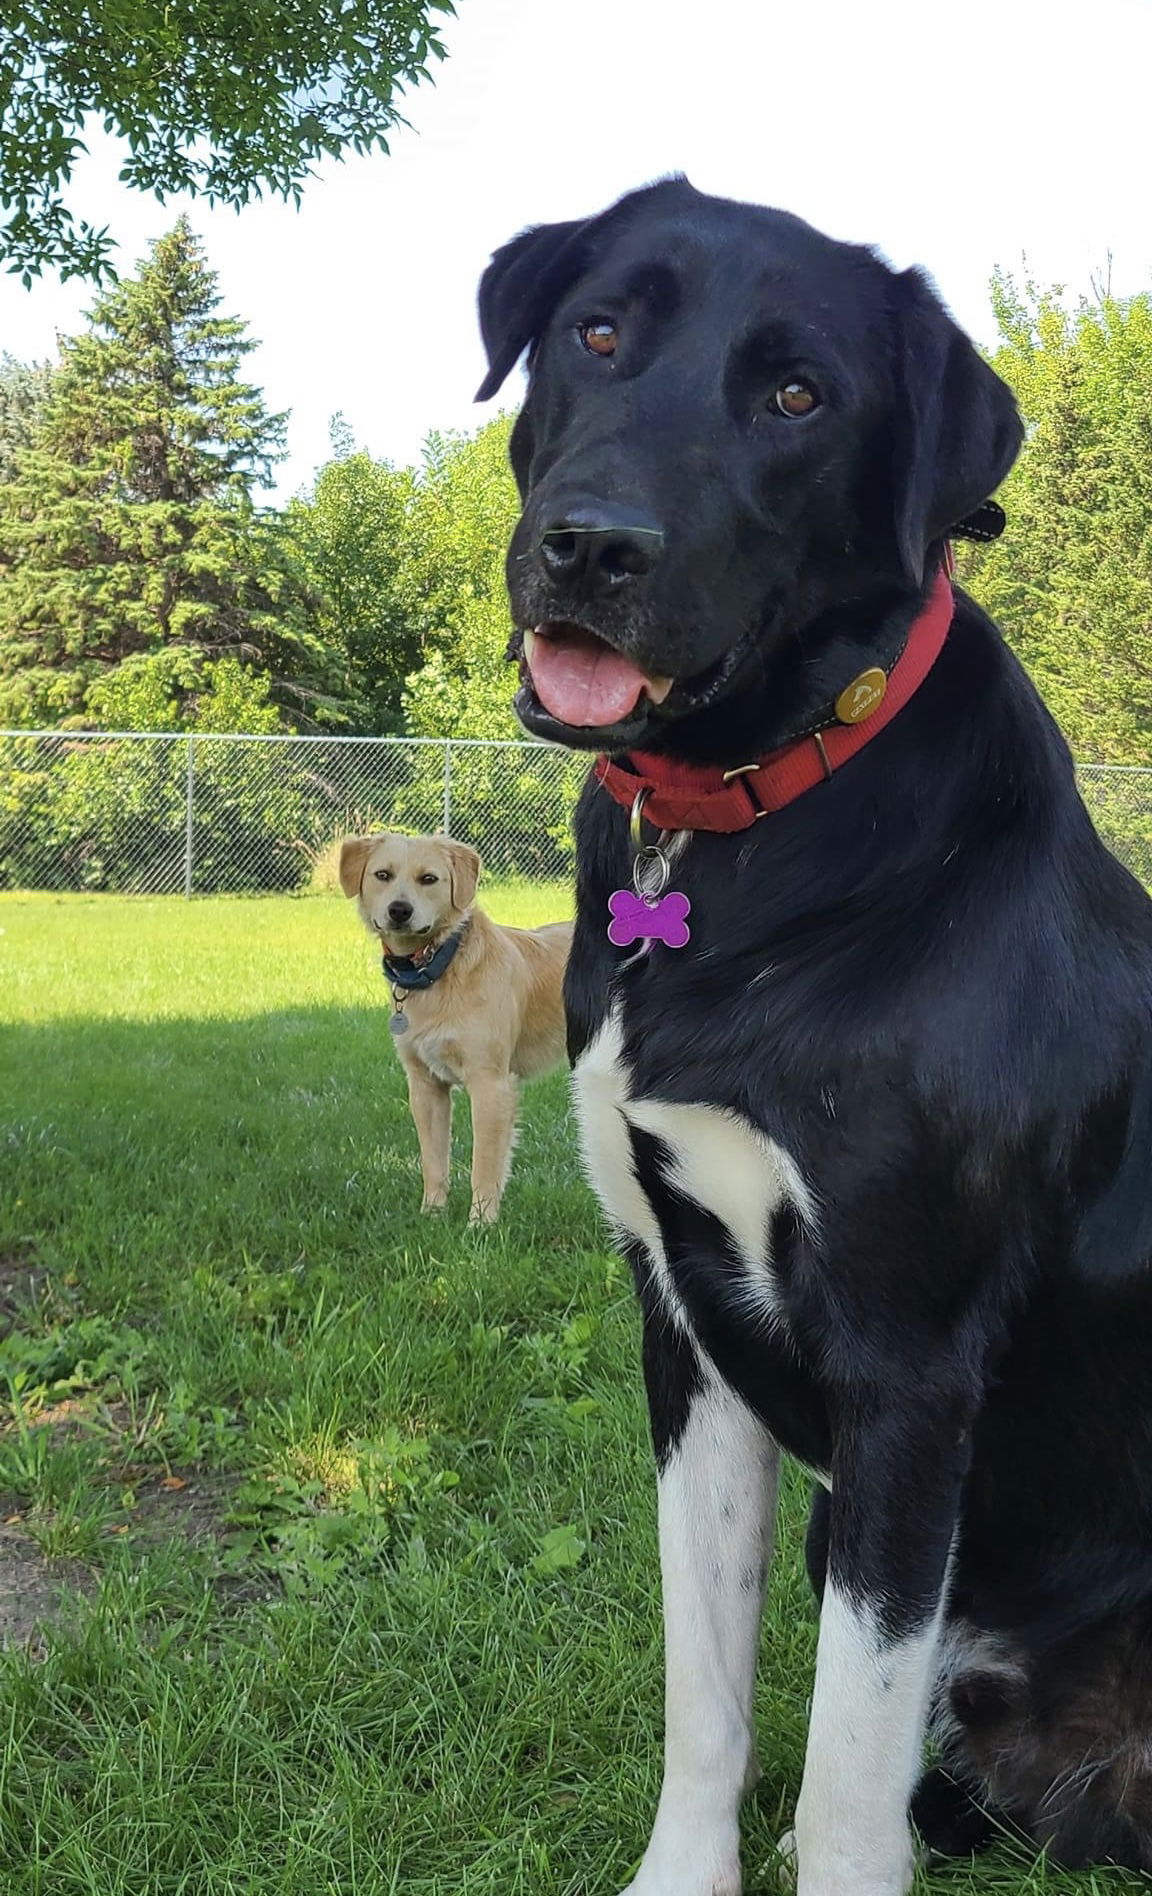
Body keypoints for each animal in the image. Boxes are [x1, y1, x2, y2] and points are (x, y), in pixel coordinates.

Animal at [341, 834, 576, 1221]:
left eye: (429, 879)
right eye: (383, 874)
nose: (399, 910)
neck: (437, 966)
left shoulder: (491, 1085)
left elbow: (484, 1165)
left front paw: (480, 1223)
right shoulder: (425, 1085)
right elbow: (434, 1161)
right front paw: (431, 1214)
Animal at [475, 181, 1152, 1896]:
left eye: (798, 397)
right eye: (597, 331)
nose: (595, 545)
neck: (735, 832)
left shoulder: (906, 1377)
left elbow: (846, 1781)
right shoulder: (685, 1322)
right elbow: (706, 1699)